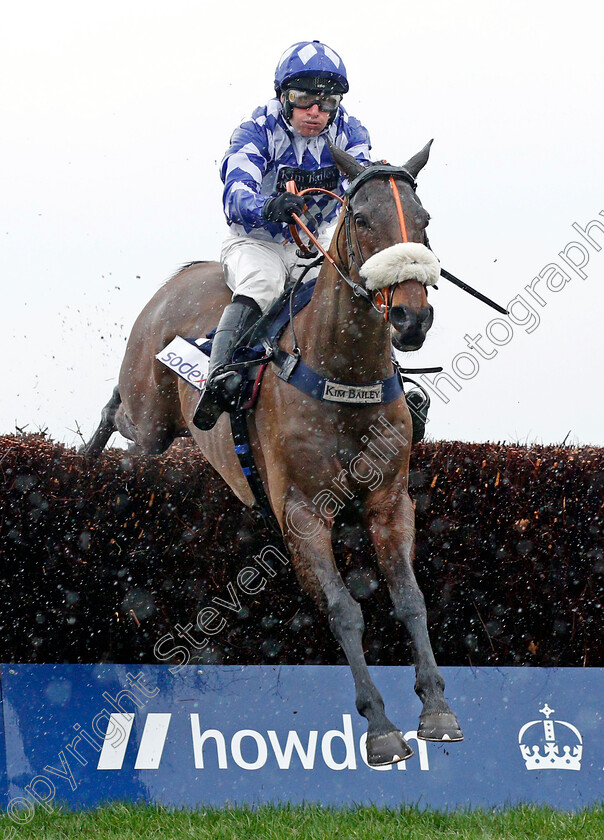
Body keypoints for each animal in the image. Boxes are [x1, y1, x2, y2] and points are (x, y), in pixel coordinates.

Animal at [84, 141, 462, 764]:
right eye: (362, 219)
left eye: (425, 220)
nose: (412, 318)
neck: (342, 375)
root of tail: (179, 278)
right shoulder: (301, 512)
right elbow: (344, 609)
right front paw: (380, 727)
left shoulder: (389, 500)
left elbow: (410, 598)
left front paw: (436, 708)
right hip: (149, 418)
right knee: (117, 414)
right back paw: (85, 456)